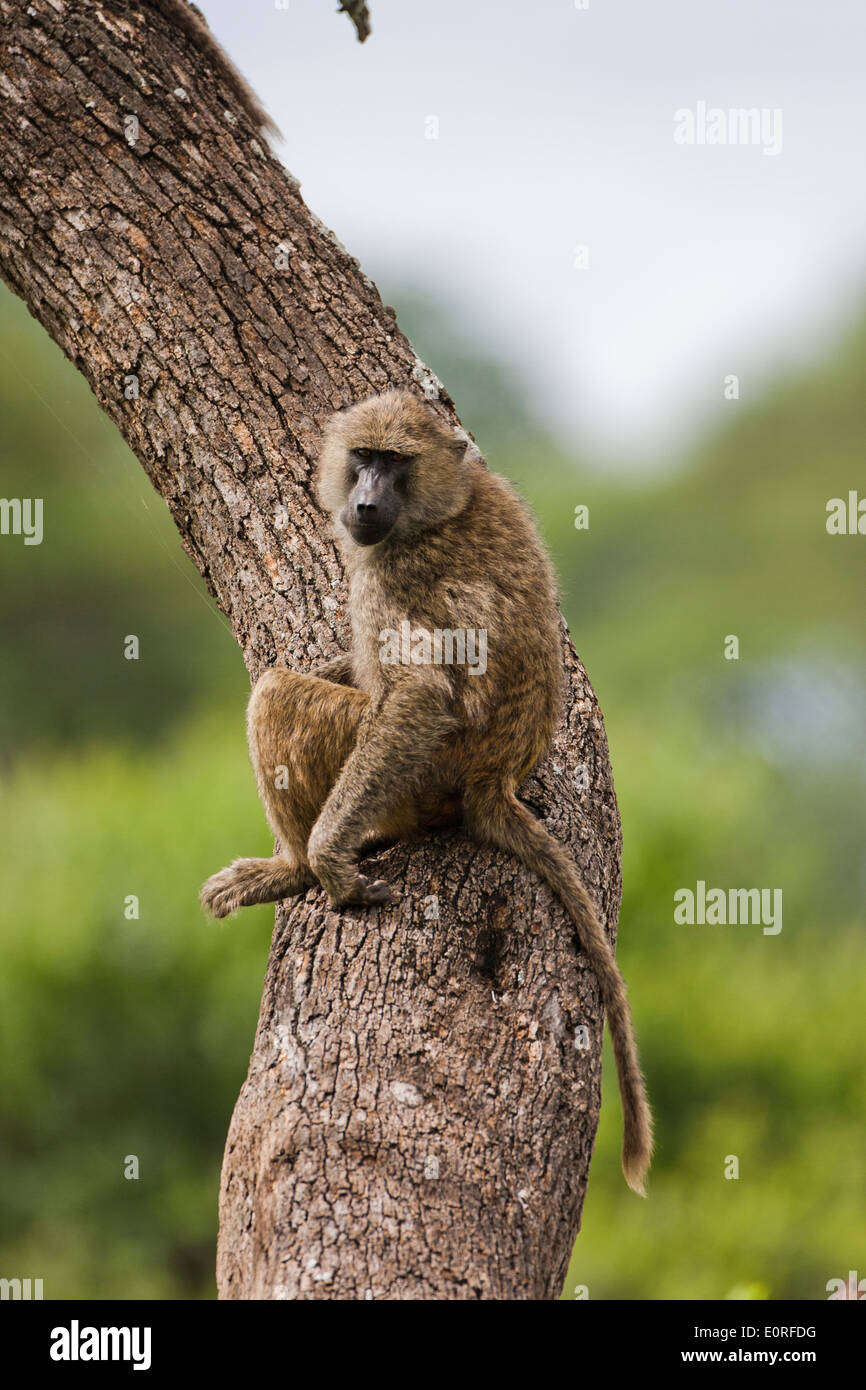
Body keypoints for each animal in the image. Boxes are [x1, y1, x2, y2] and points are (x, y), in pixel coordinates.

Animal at [200, 389, 653, 1195]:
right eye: (364, 457)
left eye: (395, 462)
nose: (365, 501)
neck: (444, 506)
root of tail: (492, 780)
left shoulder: (396, 576)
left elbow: (416, 692)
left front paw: (329, 860)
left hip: (416, 778)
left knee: (278, 694)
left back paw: (293, 866)